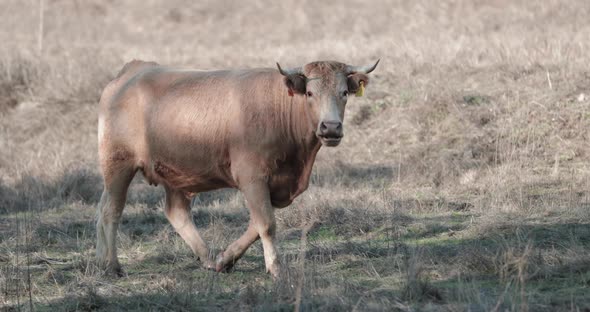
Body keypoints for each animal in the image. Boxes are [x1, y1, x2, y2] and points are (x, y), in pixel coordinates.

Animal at [96, 59, 380, 278]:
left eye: (344, 93)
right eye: (310, 93)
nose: (330, 127)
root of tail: (133, 71)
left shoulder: (276, 184)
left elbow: (257, 223)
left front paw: (226, 259)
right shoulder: (252, 177)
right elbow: (266, 223)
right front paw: (276, 268)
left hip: (173, 173)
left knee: (172, 211)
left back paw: (207, 259)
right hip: (118, 164)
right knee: (111, 210)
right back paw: (112, 266)